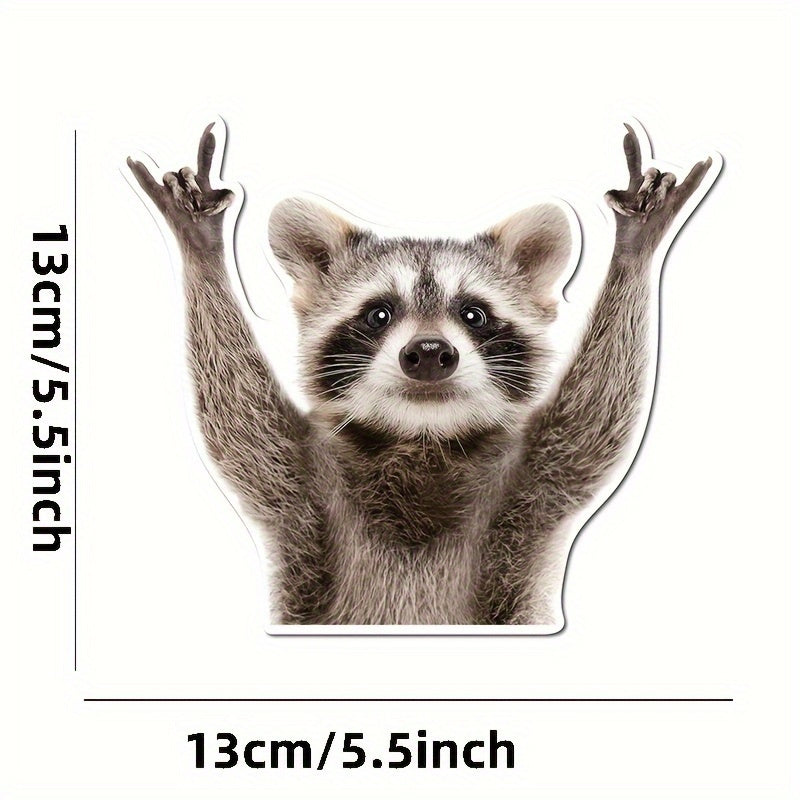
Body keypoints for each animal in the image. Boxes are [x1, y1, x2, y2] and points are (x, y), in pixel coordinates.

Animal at [127, 122, 715, 625]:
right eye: (379, 314)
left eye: (473, 314)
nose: (430, 352)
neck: (422, 437)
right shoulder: (300, 487)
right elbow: (237, 418)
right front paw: (202, 250)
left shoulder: (533, 486)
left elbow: (596, 420)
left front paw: (634, 250)